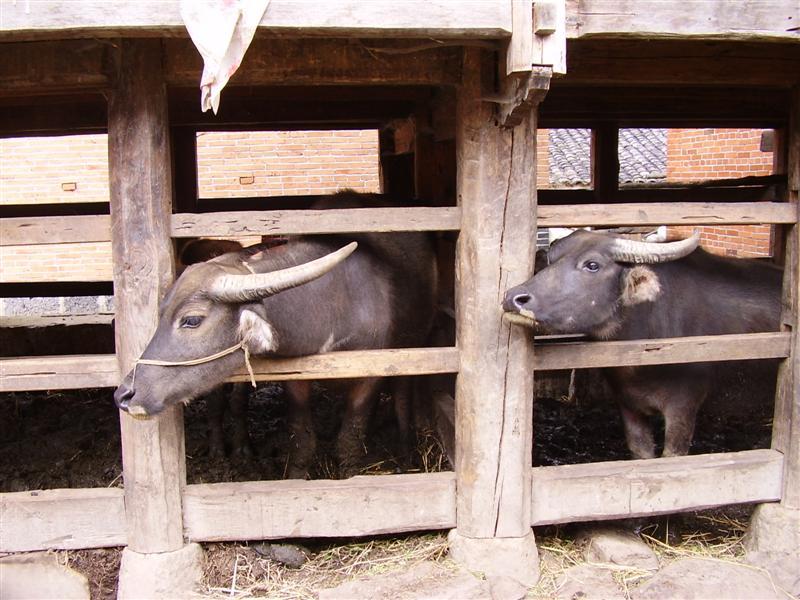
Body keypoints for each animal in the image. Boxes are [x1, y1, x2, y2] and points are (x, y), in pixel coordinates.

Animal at [114, 193, 438, 478]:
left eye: (192, 320)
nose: (124, 394)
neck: (335, 300)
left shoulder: (370, 375)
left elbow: (350, 437)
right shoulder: (295, 377)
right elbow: (302, 436)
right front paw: (296, 475)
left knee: (403, 395)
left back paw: (407, 448)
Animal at [504, 230, 780, 460]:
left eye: (592, 265)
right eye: (551, 260)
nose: (513, 298)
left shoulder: (684, 406)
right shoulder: (628, 404)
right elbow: (641, 453)